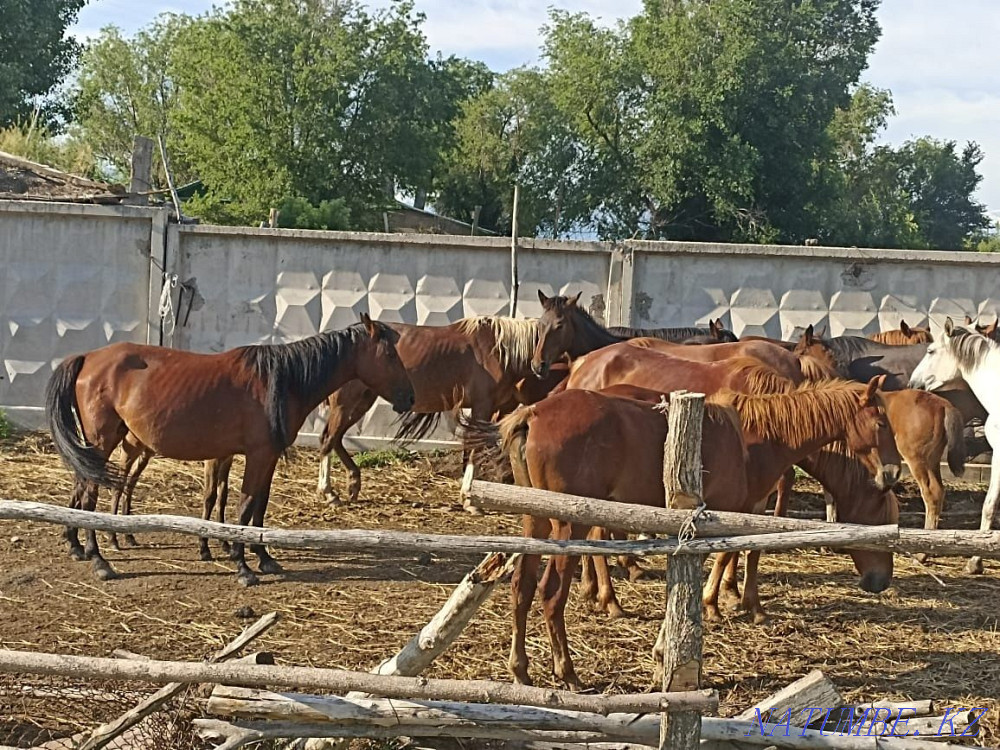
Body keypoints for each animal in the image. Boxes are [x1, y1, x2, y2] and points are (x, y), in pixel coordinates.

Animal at [44, 315, 415, 586]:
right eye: (389, 354)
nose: (409, 397)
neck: (282, 380)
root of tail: (88, 358)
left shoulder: (265, 457)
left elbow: (258, 507)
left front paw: (264, 558)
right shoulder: (257, 454)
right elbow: (244, 505)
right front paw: (242, 565)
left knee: (81, 488)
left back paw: (76, 545)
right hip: (103, 442)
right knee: (90, 496)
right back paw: (99, 559)